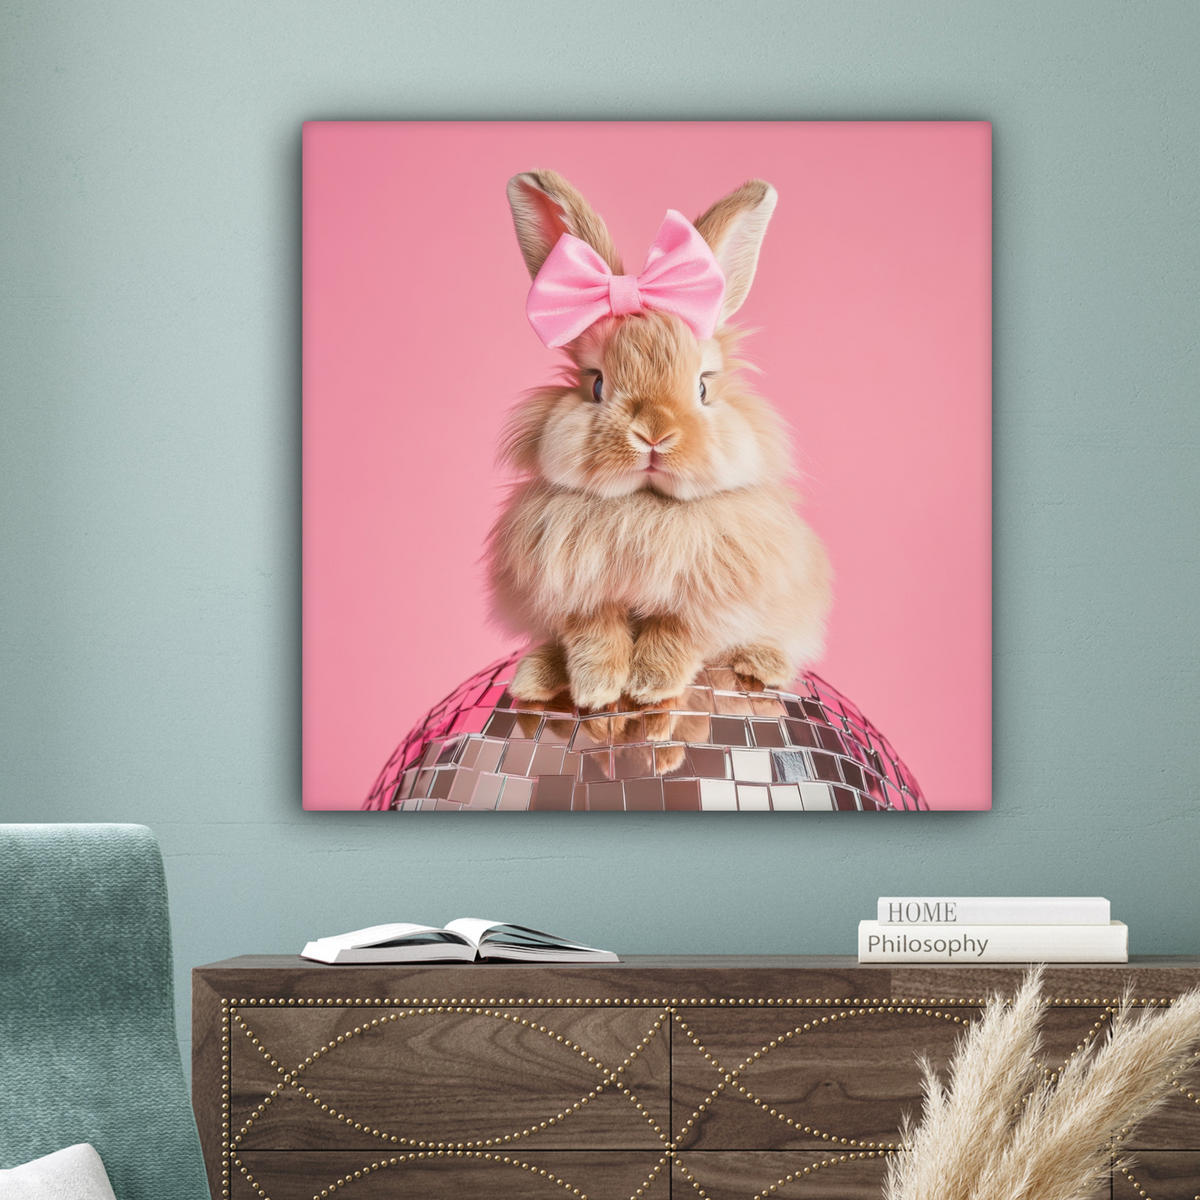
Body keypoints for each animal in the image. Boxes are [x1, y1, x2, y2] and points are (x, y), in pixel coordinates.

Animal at [485, 168, 832, 716]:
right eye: (596, 384)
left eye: (704, 387)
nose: (654, 432)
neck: (644, 507)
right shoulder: (579, 592)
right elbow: (593, 632)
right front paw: (599, 688)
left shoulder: (708, 597)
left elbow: (676, 632)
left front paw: (649, 685)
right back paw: (535, 678)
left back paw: (763, 664)